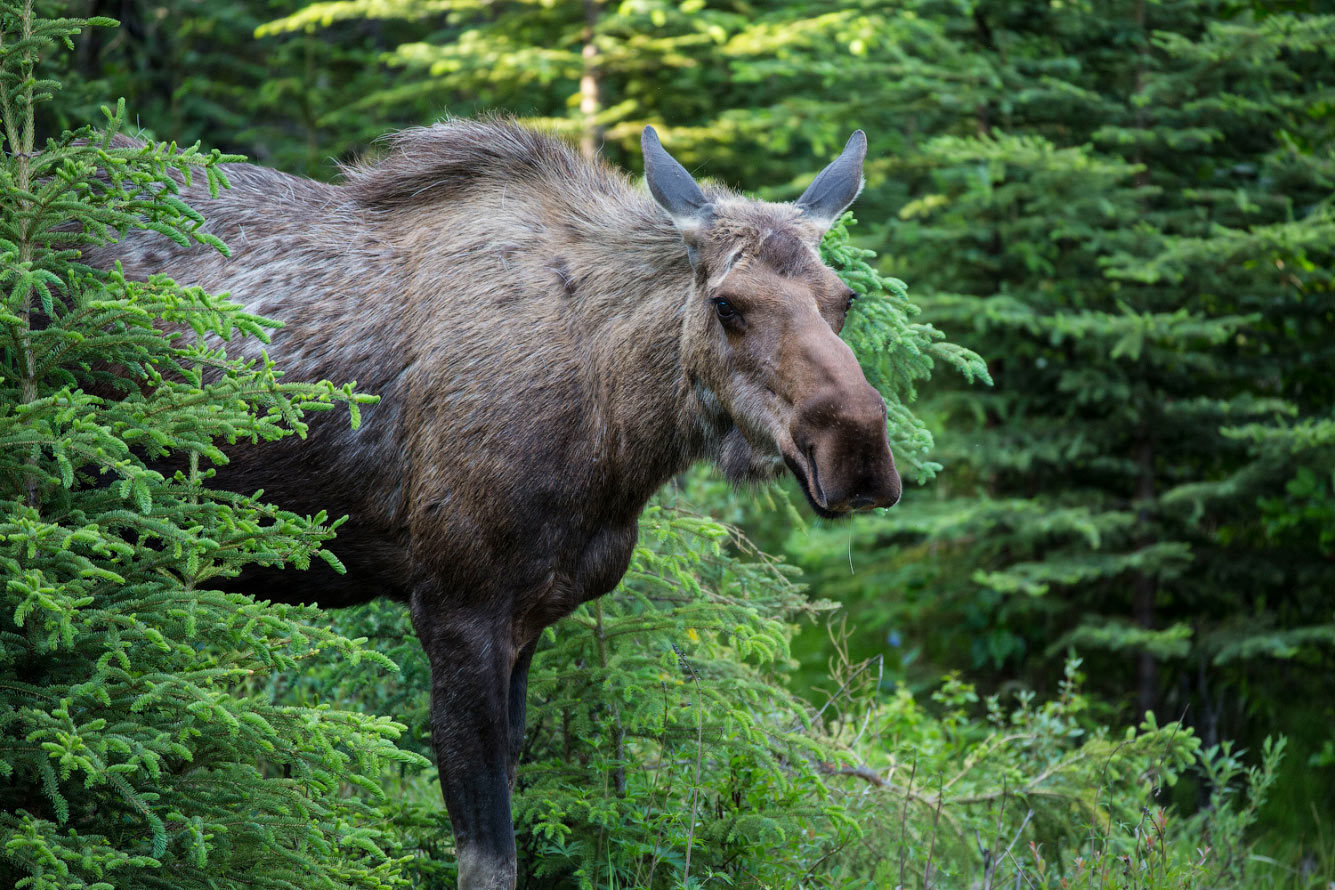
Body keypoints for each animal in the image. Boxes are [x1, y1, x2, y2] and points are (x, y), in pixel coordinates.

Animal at [94, 120, 902, 890]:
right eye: (726, 304)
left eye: (844, 299)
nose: (857, 450)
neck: (618, 442)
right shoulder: (455, 604)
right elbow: (488, 858)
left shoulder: (529, 616)